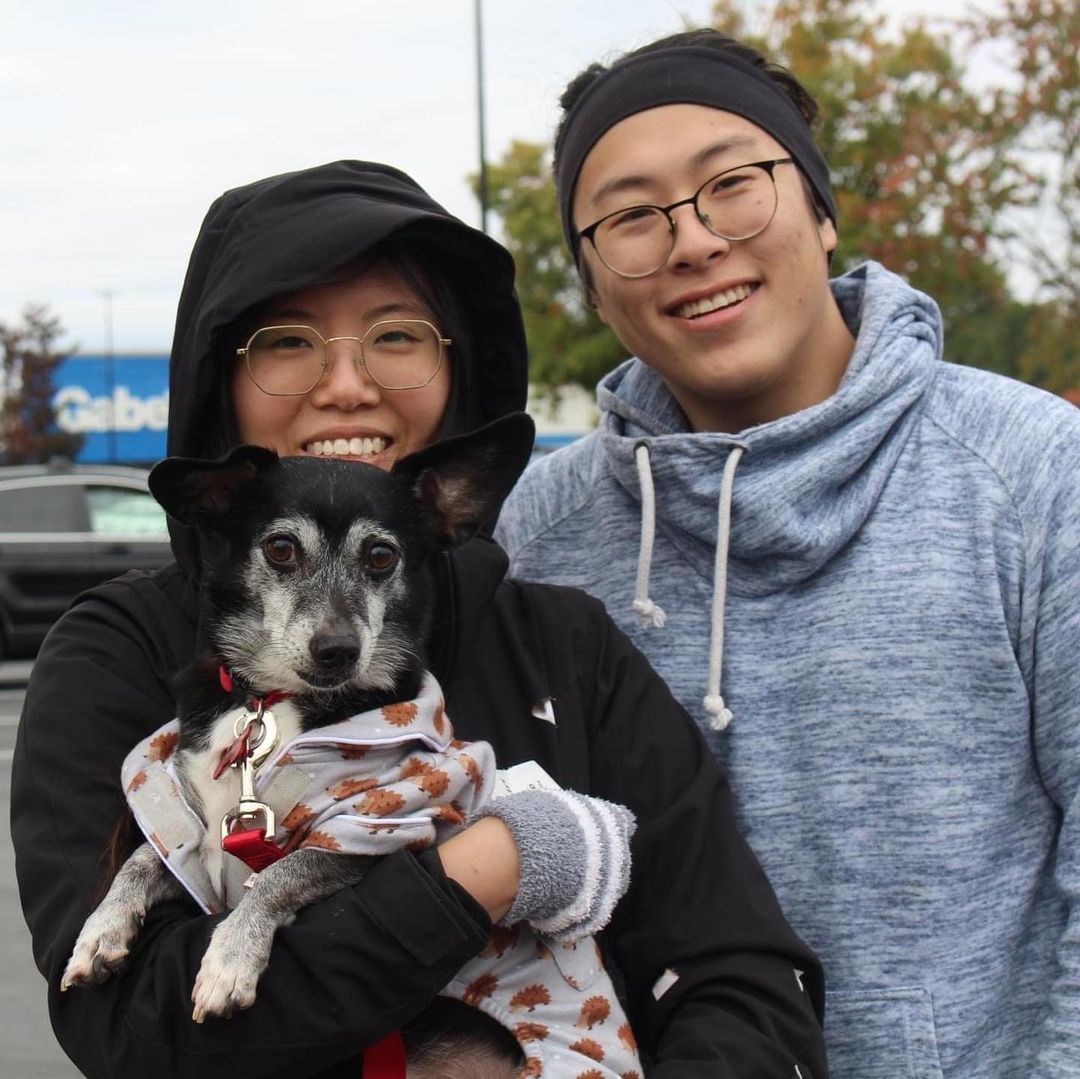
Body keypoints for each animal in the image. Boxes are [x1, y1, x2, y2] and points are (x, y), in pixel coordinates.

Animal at [61, 412, 533, 1028]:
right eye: (281, 548)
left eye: (381, 556)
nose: (337, 651)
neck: (277, 699)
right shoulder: (198, 836)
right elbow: (141, 859)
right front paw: (101, 929)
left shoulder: (375, 833)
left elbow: (279, 875)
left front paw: (230, 958)